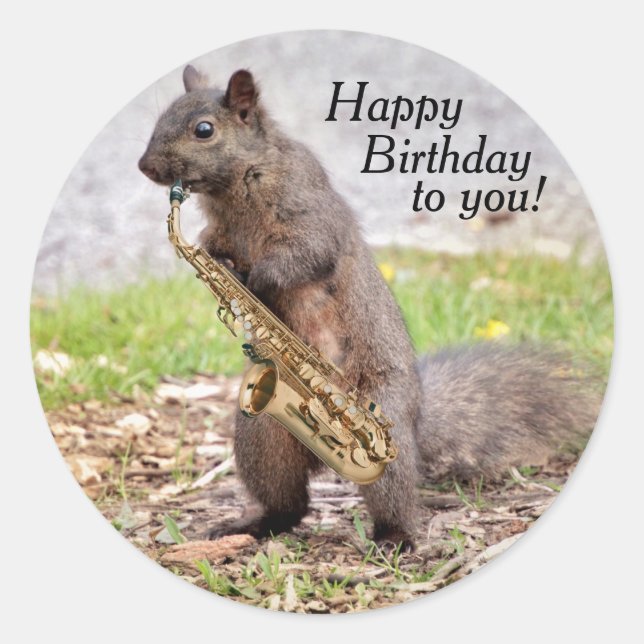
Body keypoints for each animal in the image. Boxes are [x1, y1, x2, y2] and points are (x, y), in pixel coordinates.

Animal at [138, 66, 599, 551]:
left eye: (204, 130)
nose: (145, 167)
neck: (238, 184)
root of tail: (414, 425)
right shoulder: (221, 232)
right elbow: (213, 246)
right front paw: (225, 274)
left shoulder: (309, 211)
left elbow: (307, 254)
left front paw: (254, 284)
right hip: (260, 436)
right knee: (289, 505)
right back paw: (251, 525)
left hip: (384, 433)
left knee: (391, 495)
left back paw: (394, 538)